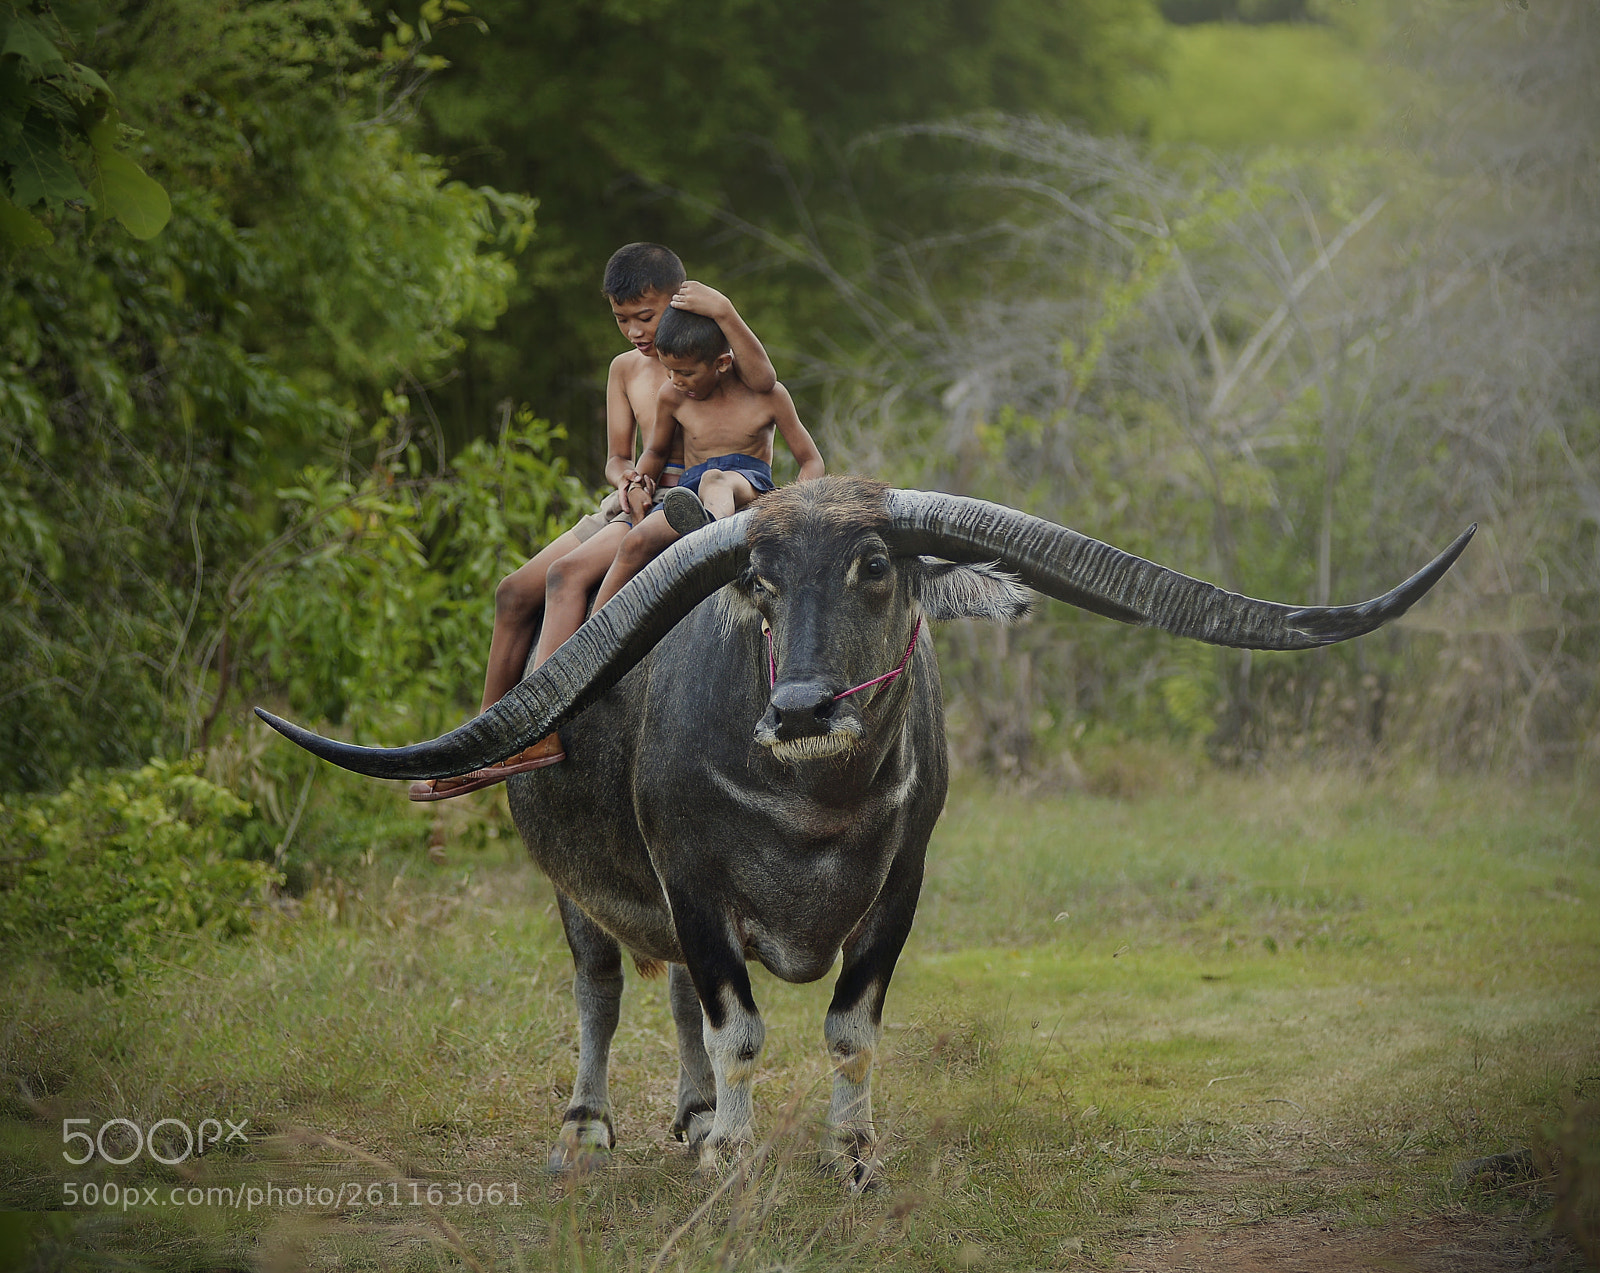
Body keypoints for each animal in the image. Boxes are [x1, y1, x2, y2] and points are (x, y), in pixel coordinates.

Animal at [258, 476, 1472, 1186]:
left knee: (671, 999)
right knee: (603, 989)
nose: (801, 708)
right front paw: (736, 1162)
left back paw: (689, 1115)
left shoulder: (901, 887)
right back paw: (591, 1128)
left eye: (875, 564)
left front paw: (846, 1153)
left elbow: (846, 1026)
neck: (812, 808)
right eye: (756, 578)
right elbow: (741, 1027)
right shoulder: (693, 882)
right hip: (575, 890)